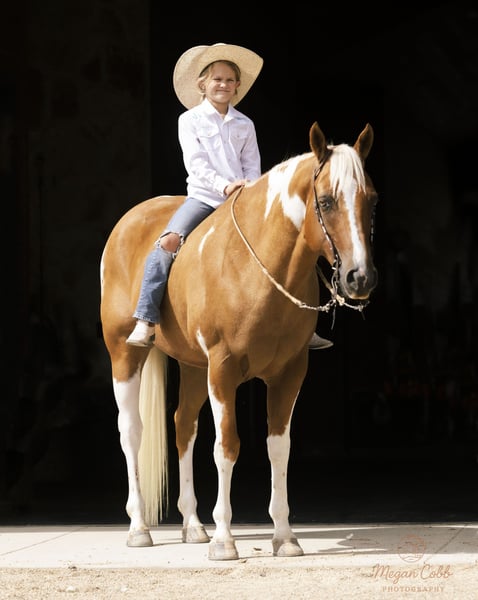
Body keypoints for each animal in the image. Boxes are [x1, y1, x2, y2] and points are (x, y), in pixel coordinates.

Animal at [99, 121, 378, 560]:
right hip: (125, 355)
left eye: (372, 200)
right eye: (327, 201)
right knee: (131, 430)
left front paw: (285, 536)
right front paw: (224, 538)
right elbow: (227, 446)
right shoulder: (223, 370)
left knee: (183, 426)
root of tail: (128, 222)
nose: (360, 278)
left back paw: (192, 525)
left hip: (193, 367)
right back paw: (139, 527)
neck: (256, 267)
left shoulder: (289, 373)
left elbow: (278, 447)